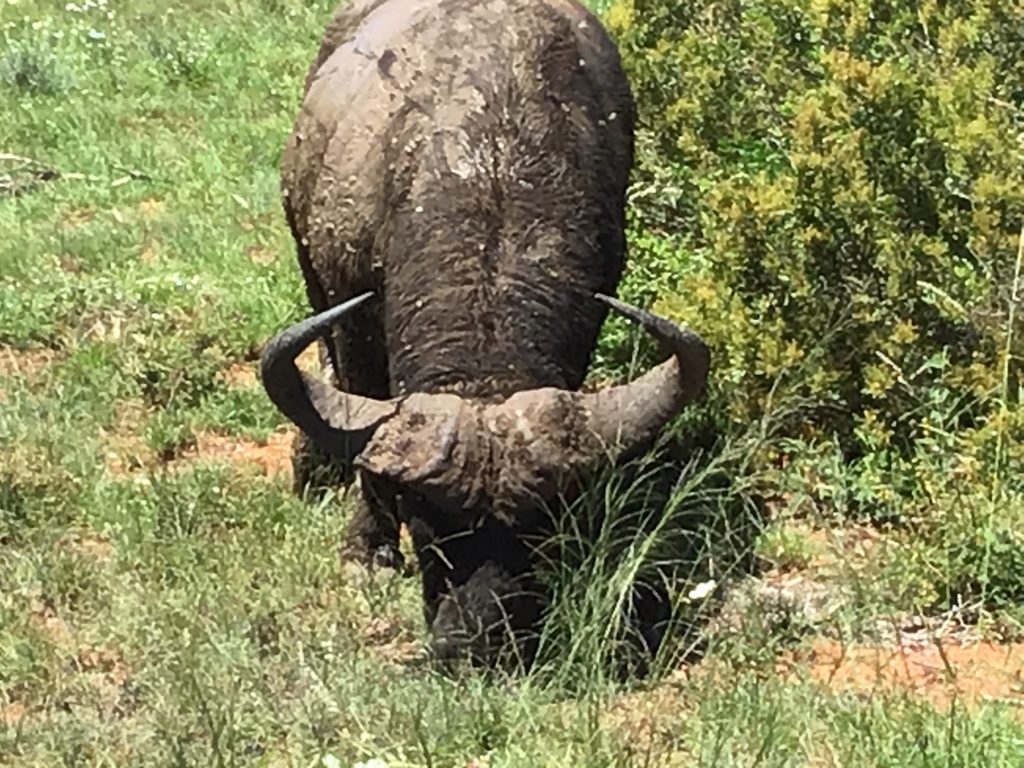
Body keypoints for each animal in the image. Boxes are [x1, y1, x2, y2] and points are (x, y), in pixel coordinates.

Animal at [260, 0, 708, 667]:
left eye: (543, 525)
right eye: (426, 525)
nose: (479, 644)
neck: (492, 175)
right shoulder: (349, 305)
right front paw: (367, 547)